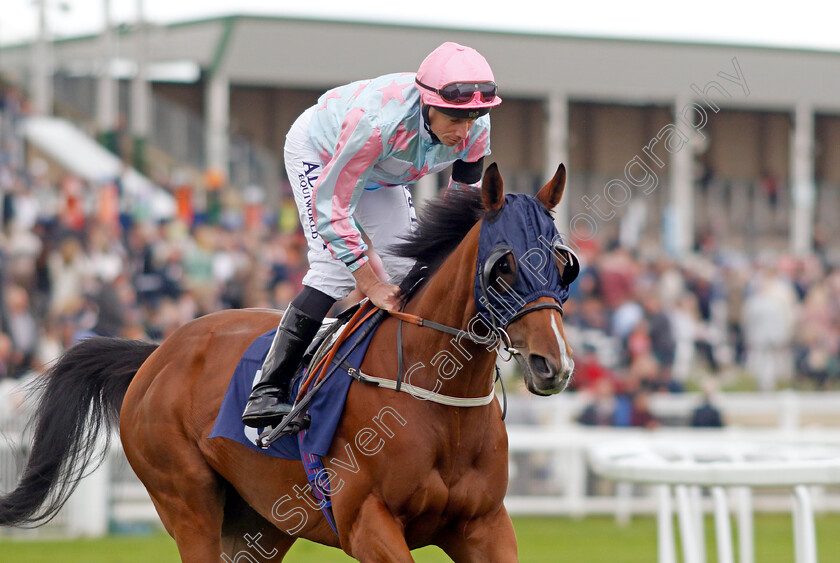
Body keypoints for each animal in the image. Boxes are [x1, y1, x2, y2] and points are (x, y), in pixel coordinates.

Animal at [0, 161, 576, 560]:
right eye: (504, 266)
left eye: (563, 263)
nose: (554, 364)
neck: (437, 402)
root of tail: (156, 353)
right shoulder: (367, 523)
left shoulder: (484, 525)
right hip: (186, 501)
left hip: (262, 523)